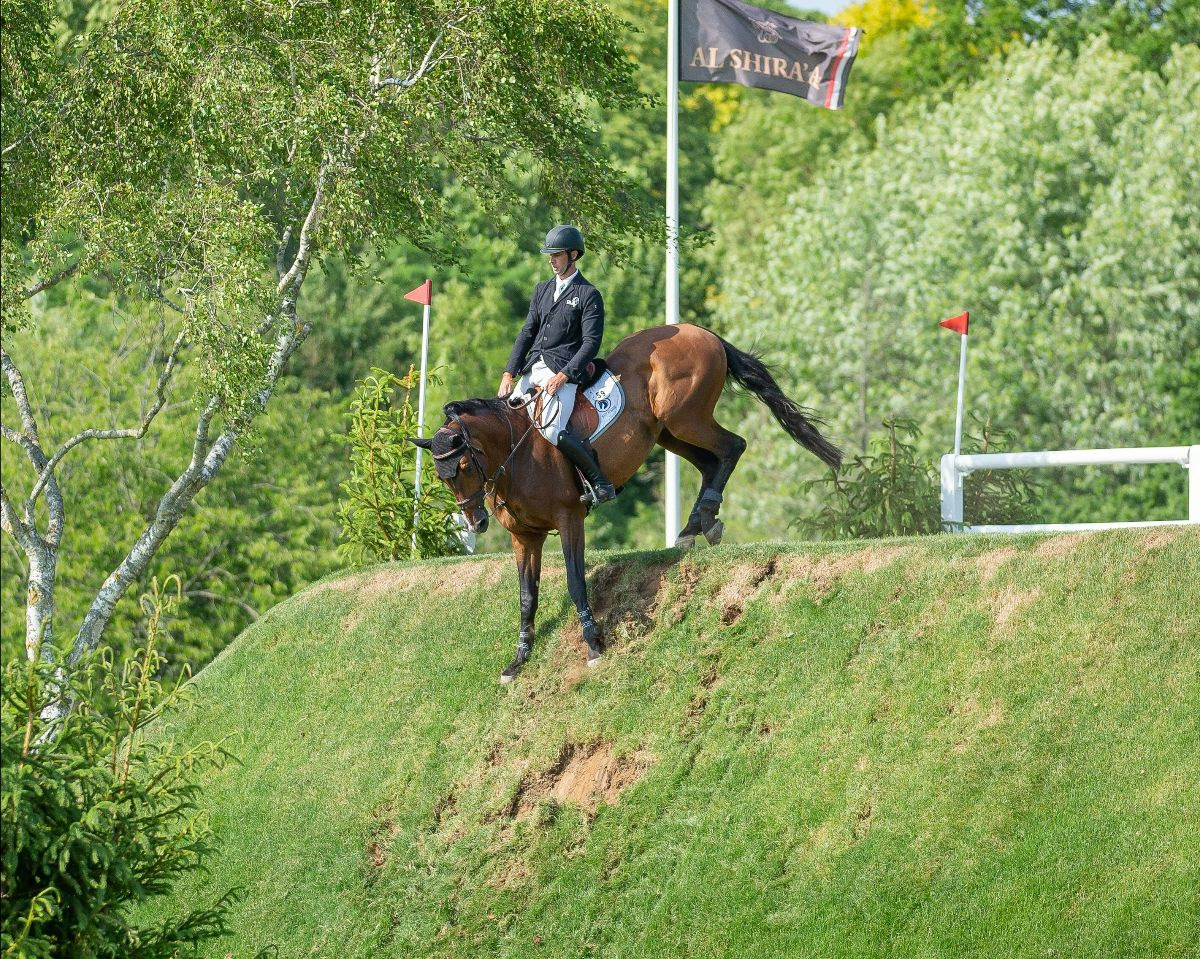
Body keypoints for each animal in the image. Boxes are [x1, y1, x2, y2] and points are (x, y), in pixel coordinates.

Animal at [412, 326, 844, 686]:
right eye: (440, 477)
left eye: (463, 466)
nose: (476, 523)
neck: (516, 454)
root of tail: (701, 331)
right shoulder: (525, 537)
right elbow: (526, 597)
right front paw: (518, 662)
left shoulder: (569, 519)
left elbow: (575, 581)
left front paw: (593, 646)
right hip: (668, 431)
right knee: (713, 461)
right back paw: (696, 526)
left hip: (683, 417)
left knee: (732, 446)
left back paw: (701, 520)